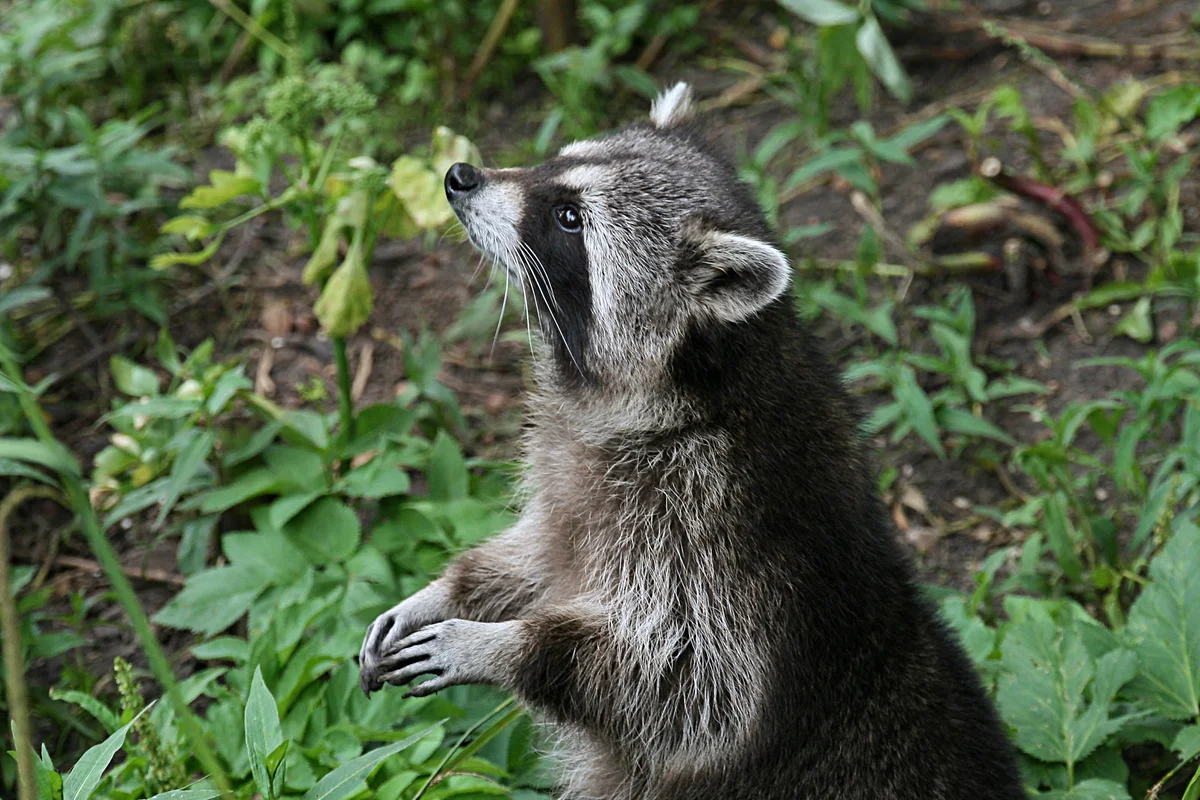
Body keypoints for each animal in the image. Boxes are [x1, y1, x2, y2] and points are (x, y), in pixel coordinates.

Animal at [355, 84, 1022, 796]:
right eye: (554, 160)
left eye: (568, 217)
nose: (459, 175)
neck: (692, 390)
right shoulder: (578, 482)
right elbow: (538, 554)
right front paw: (448, 591)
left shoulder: (718, 528)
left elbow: (694, 686)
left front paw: (501, 646)